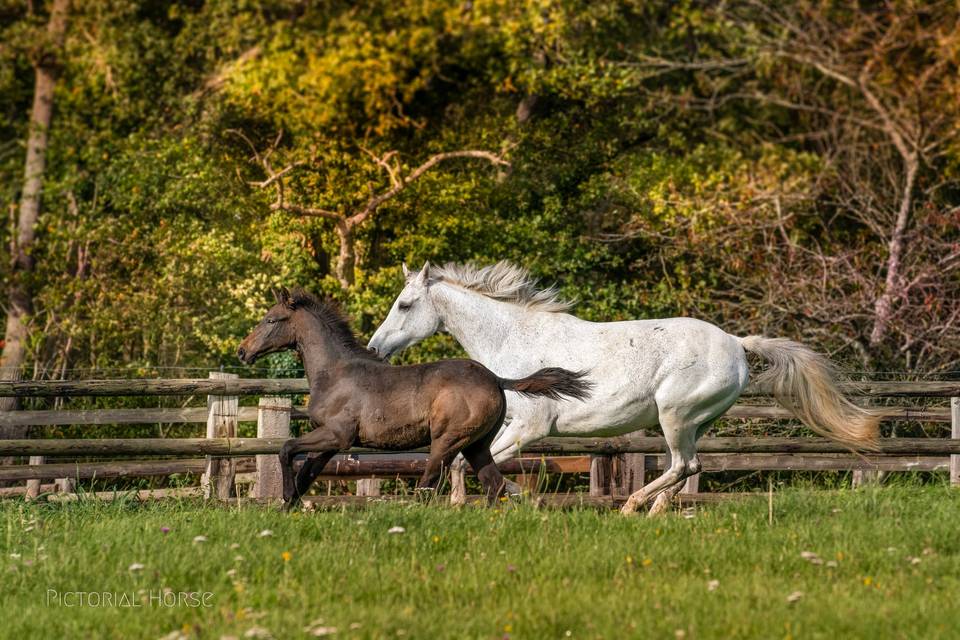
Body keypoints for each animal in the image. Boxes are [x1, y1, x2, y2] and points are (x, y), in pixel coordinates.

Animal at [236, 288, 588, 510]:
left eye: (271, 319)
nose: (242, 351)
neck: (334, 371)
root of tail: (496, 379)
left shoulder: (337, 435)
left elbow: (286, 449)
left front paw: (285, 497)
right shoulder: (330, 443)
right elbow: (307, 473)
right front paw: (290, 506)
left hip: (447, 441)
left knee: (429, 486)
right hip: (476, 445)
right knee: (494, 486)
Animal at [372, 260, 880, 516]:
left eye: (405, 304)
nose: (376, 348)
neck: (513, 341)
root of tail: (737, 343)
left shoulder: (530, 428)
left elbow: (468, 466)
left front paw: (491, 501)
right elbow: (467, 463)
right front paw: (489, 501)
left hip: (674, 416)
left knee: (682, 466)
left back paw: (632, 507)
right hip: (694, 423)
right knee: (689, 468)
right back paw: (654, 513)